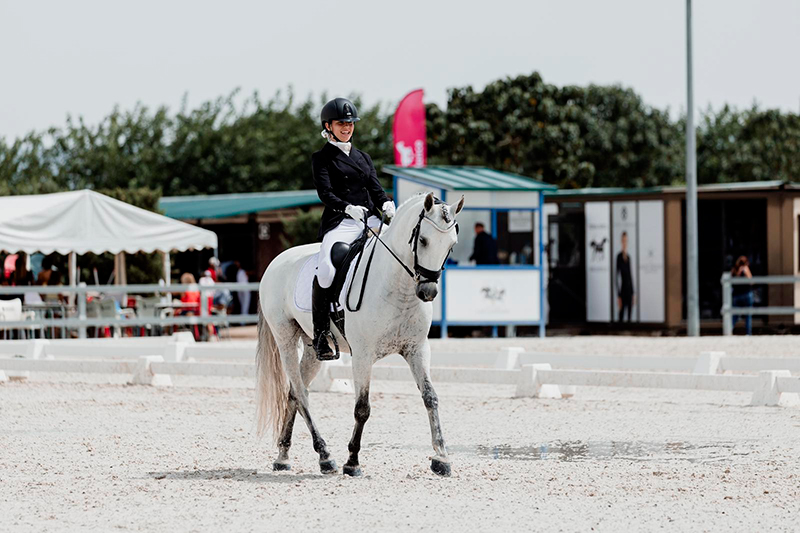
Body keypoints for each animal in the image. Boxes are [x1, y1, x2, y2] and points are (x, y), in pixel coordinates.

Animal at [258, 193, 462, 476]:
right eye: (423, 240)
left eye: (451, 245)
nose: (428, 292)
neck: (399, 289)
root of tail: (276, 261)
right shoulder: (363, 355)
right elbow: (362, 407)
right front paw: (352, 461)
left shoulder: (418, 350)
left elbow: (430, 397)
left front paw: (441, 458)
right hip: (285, 339)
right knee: (301, 393)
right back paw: (325, 456)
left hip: (312, 348)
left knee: (293, 394)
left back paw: (283, 456)